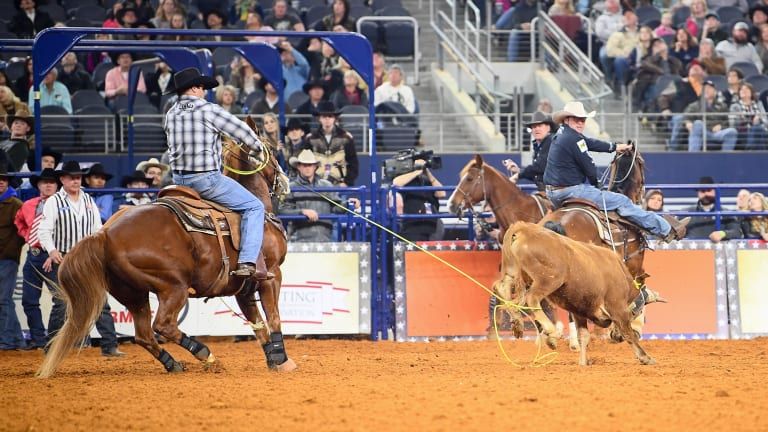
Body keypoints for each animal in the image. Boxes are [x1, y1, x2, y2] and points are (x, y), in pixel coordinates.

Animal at [37, 116, 298, 376]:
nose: (284, 181)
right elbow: (273, 317)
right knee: (163, 325)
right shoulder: (272, 275)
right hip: (173, 286)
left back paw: (174, 363)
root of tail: (105, 233)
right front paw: (284, 360)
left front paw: (273, 359)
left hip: (132, 293)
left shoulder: (243, 288)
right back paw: (205, 354)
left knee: (144, 334)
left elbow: (258, 324)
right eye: (270, 148)